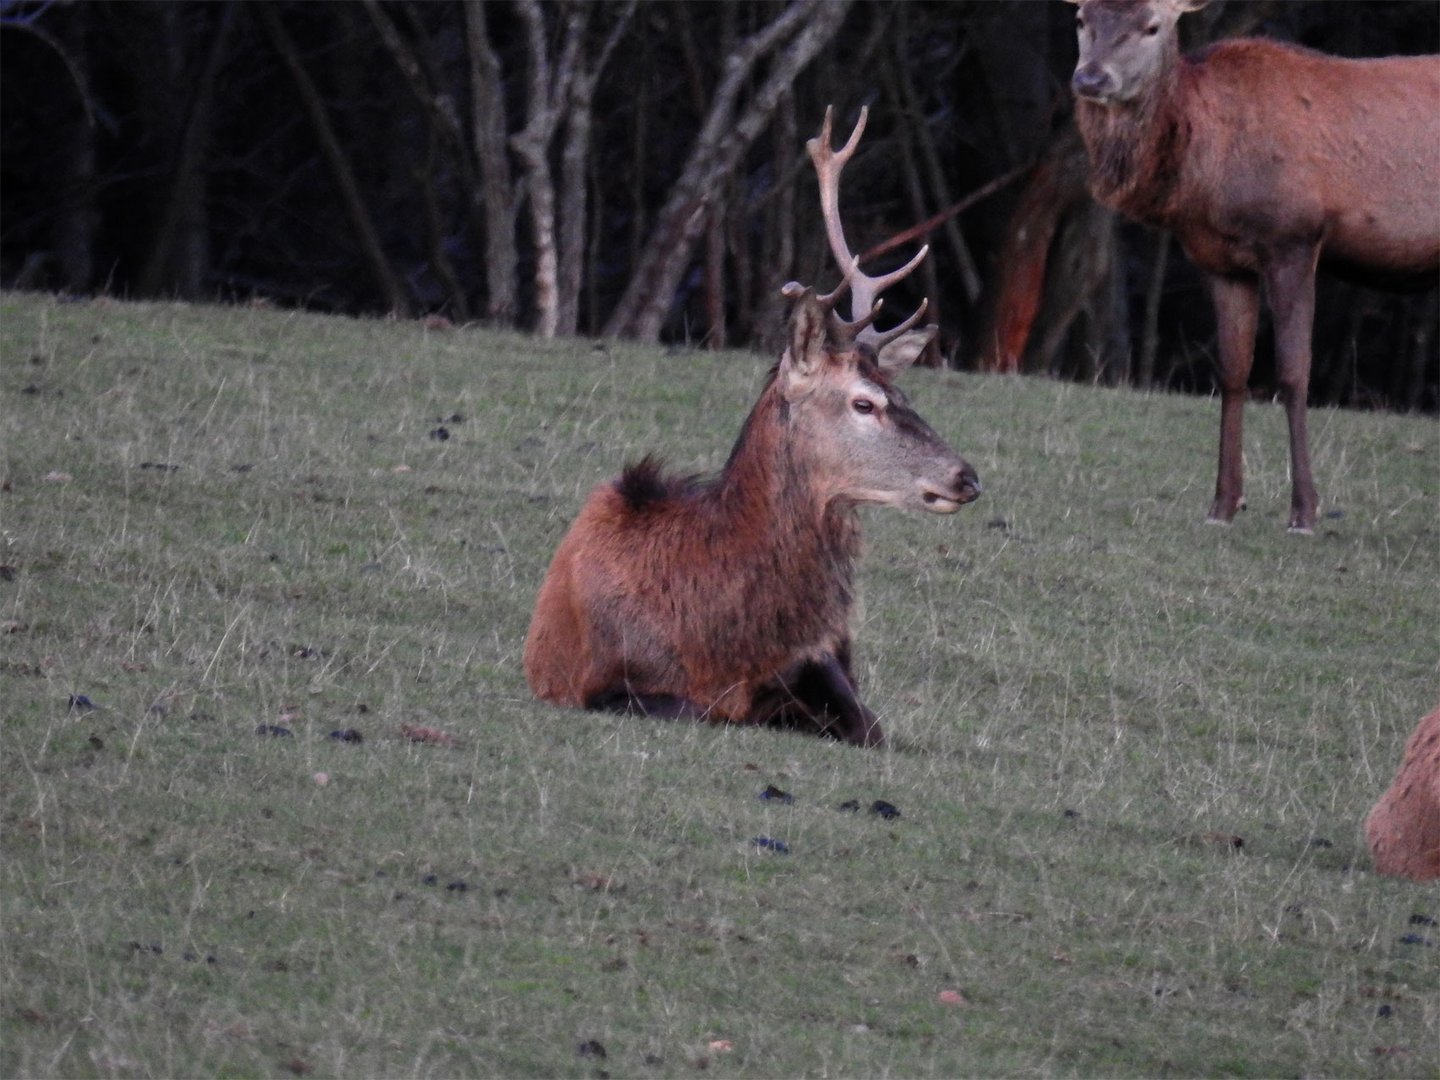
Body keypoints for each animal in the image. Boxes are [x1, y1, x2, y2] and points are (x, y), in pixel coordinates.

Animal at [524, 112, 984, 754]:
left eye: (905, 397)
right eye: (863, 403)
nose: (966, 477)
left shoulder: (821, 667)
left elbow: (868, 726)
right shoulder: (605, 683)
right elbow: (698, 711)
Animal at [1065, 0, 1434, 532]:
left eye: (1152, 25)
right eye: (1081, 19)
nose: (1091, 78)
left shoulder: (1295, 238)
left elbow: (1293, 373)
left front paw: (1304, 511)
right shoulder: (1220, 261)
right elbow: (1233, 372)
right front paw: (1223, 504)